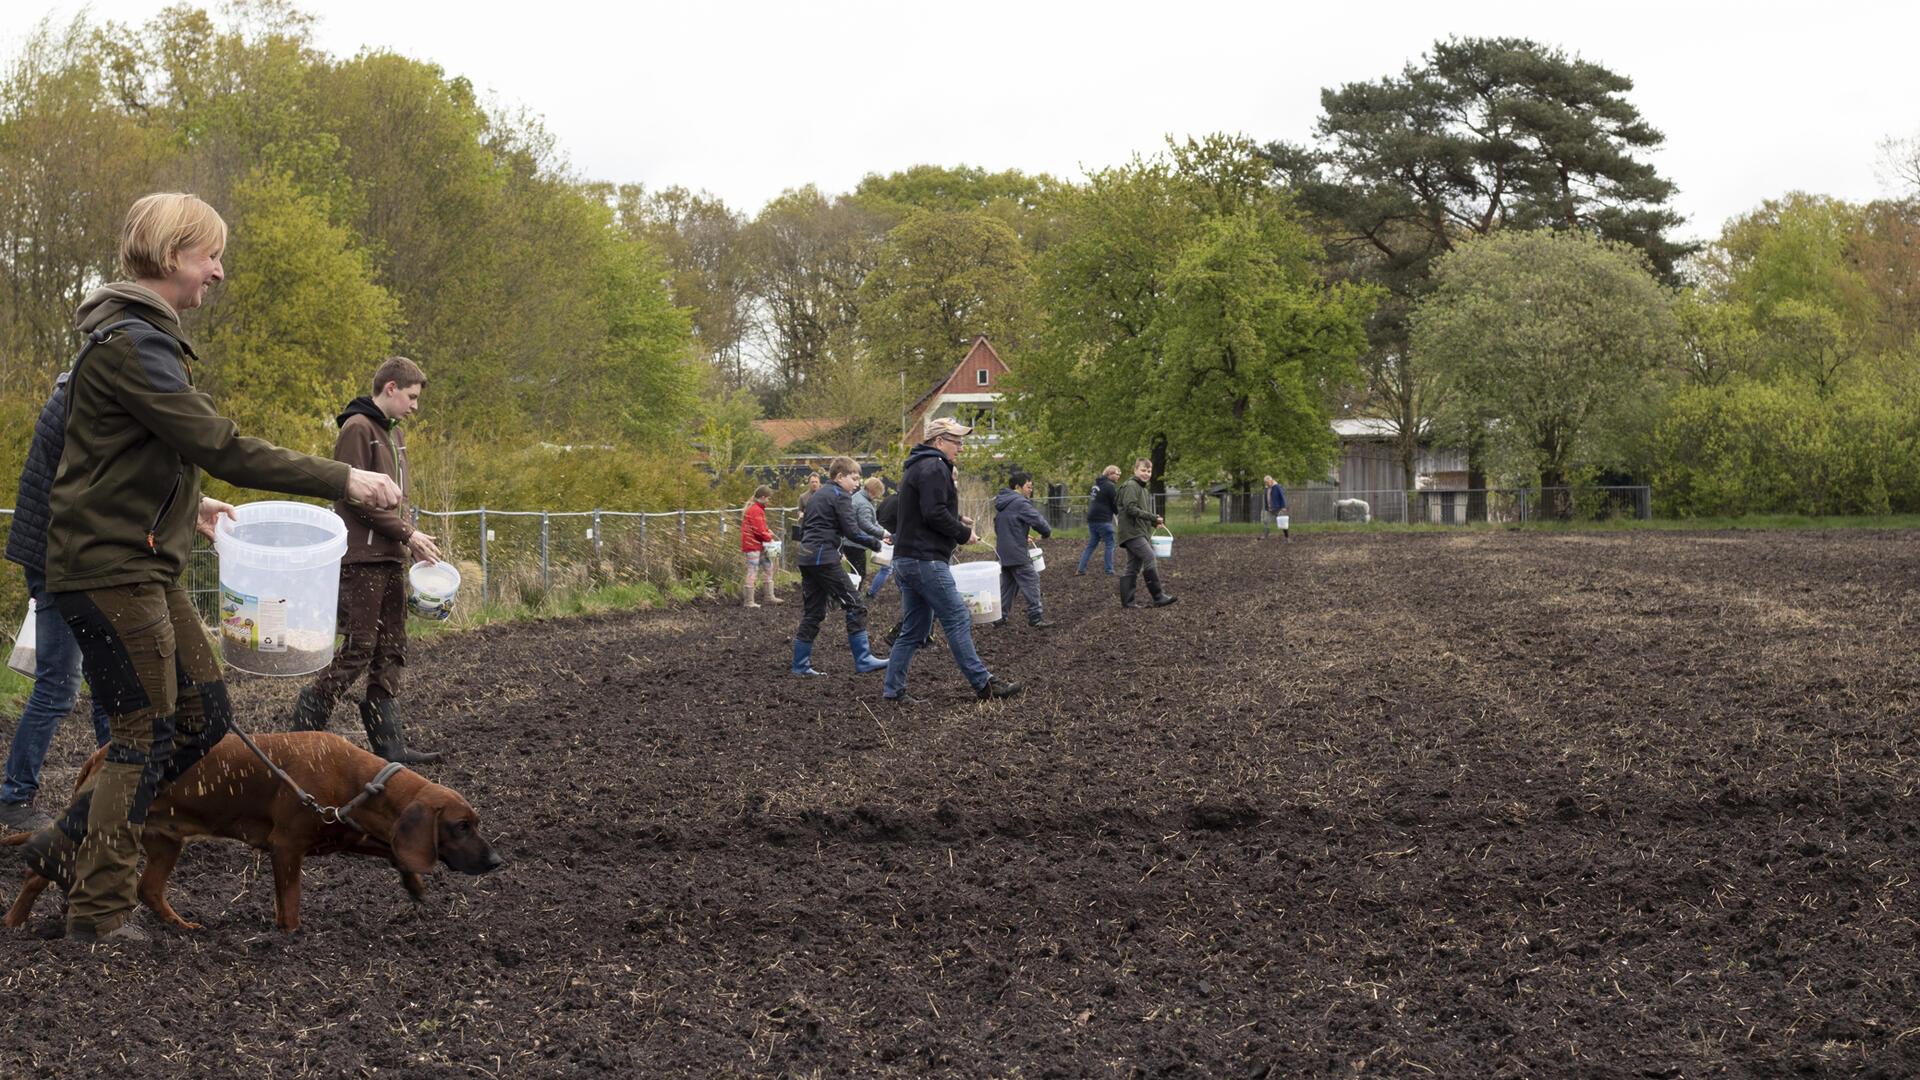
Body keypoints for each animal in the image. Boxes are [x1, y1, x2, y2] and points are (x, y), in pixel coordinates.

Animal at [0, 726, 503, 930]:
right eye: (461, 826)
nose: (498, 860)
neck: (362, 783)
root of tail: (101, 752)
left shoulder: (344, 832)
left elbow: (395, 851)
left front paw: (414, 884)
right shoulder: (287, 848)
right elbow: (291, 907)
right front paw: (289, 937)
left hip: (165, 843)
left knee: (149, 889)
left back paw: (181, 927)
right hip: (97, 832)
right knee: (35, 874)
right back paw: (16, 922)